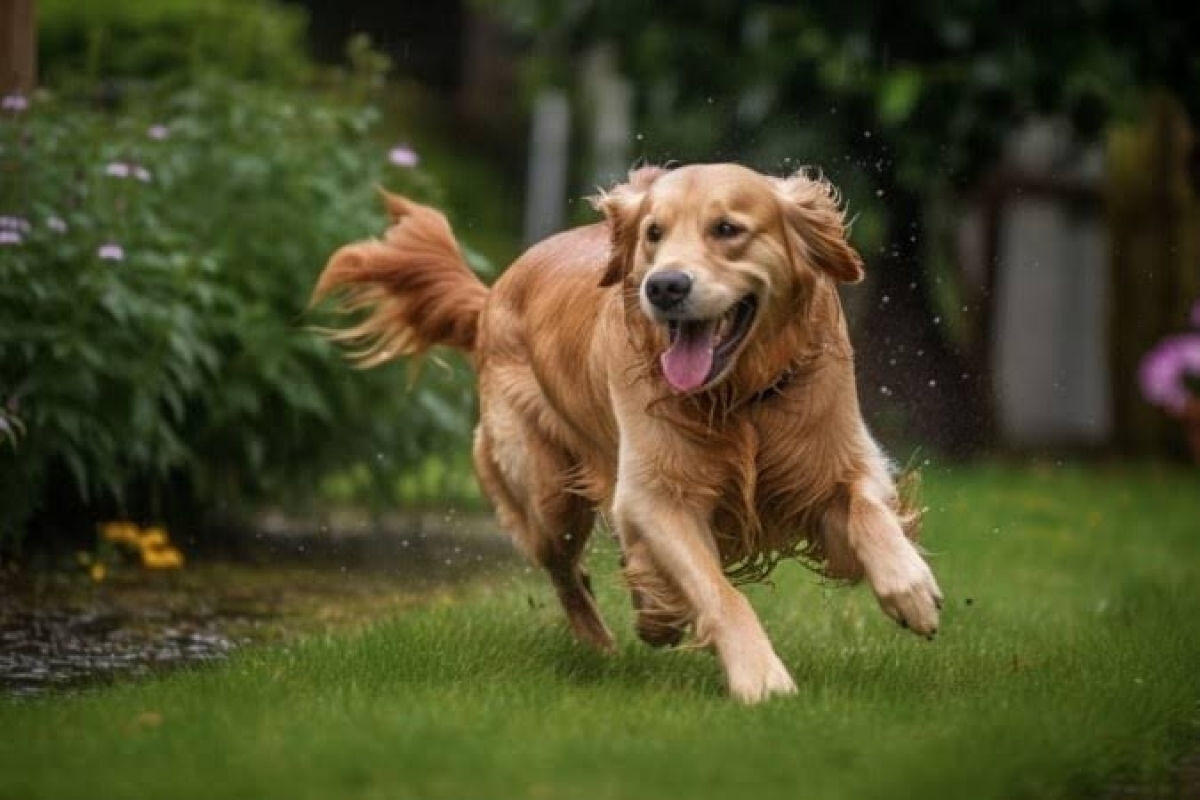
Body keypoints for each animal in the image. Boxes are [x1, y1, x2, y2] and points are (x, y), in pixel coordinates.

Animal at [314, 165, 940, 705]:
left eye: (727, 229)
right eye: (653, 234)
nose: (664, 286)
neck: (738, 398)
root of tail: (491, 296)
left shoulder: (829, 467)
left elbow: (867, 510)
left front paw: (911, 589)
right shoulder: (656, 495)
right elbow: (718, 591)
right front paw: (760, 678)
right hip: (546, 491)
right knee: (565, 569)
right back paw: (605, 642)